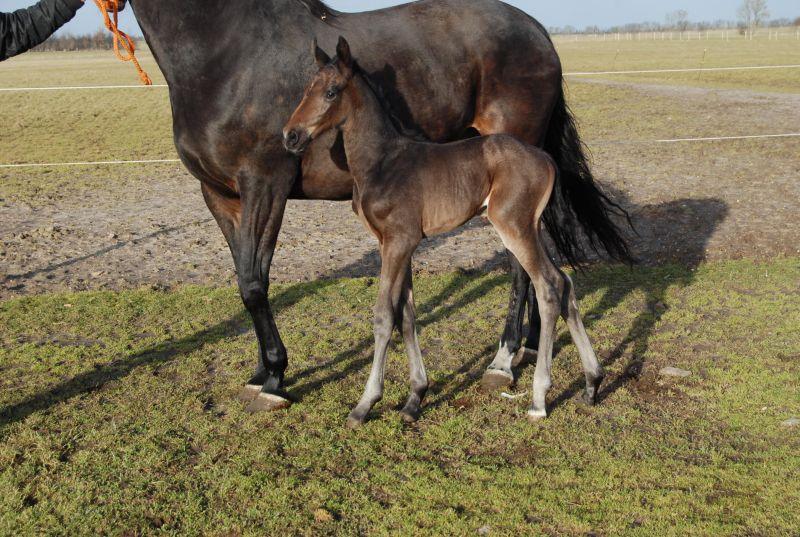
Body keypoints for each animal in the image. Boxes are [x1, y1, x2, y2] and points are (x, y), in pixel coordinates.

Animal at [284, 35, 604, 426]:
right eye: (307, 89)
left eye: (331, 92)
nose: (290, 135)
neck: (382, 161)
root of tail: (546, 159)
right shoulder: (398, 244)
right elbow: (406, 314)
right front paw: (414, 398)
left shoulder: (398, 242)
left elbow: (383, 315)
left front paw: (365, 403)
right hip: (529, 226)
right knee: (565, 282)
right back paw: (592, 383)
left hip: (513, 226)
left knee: (548, 287)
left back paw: (539, 399)